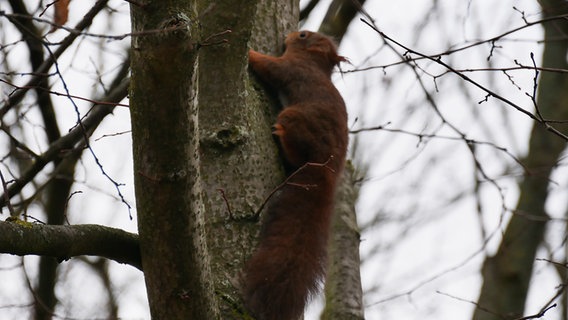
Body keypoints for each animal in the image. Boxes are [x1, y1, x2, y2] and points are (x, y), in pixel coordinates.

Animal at [242, 30, 348, 320]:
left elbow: (270, 66)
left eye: (303, 35)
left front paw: (251, 53)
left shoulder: (291, 69)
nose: (290, 35)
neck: (313, 62)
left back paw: (280, 135)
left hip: (294, 116)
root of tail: (325, 168)